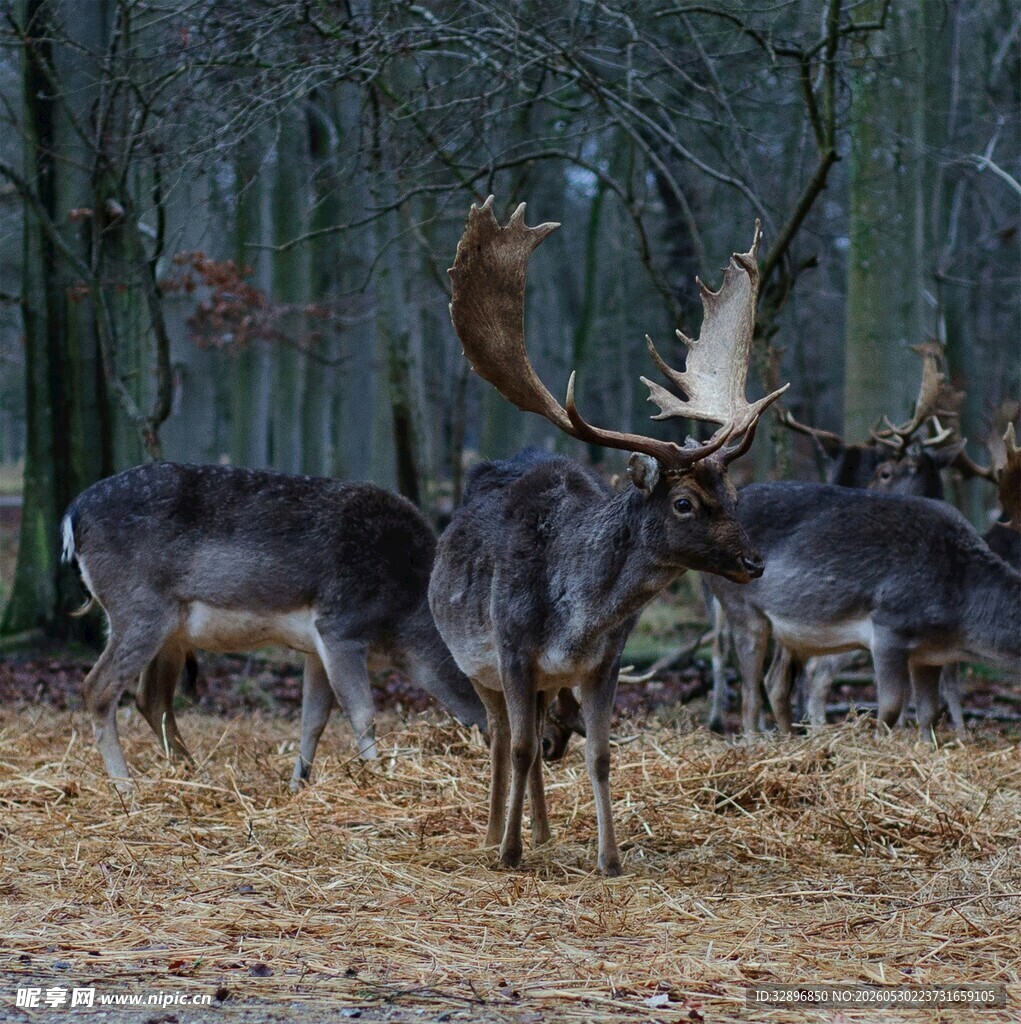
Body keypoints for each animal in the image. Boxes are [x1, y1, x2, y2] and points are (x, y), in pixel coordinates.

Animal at [61, 464, 487, 791]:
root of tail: (72, 516)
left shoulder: (316, 647)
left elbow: (313, 721)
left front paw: (298, 784)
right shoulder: (341, 626)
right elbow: (363, 714)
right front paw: (379, 777)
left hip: (169, 631)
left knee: (151, 698)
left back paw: (194, 774)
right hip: (139, 610)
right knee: (97, 687)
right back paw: (126, 789)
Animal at [428, 197, 787, 875]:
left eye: (732, 496)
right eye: (684, 502)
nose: (754, 562)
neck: (577, 618)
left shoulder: (604, 663)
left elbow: (598, 754)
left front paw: (609, 859)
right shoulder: (511, 650)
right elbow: (522, 748)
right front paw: (509, 853)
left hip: (542, 681)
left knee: (534, 738)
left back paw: (542, 831)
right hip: (474, 663)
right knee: (501, 737)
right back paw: (493, 836)